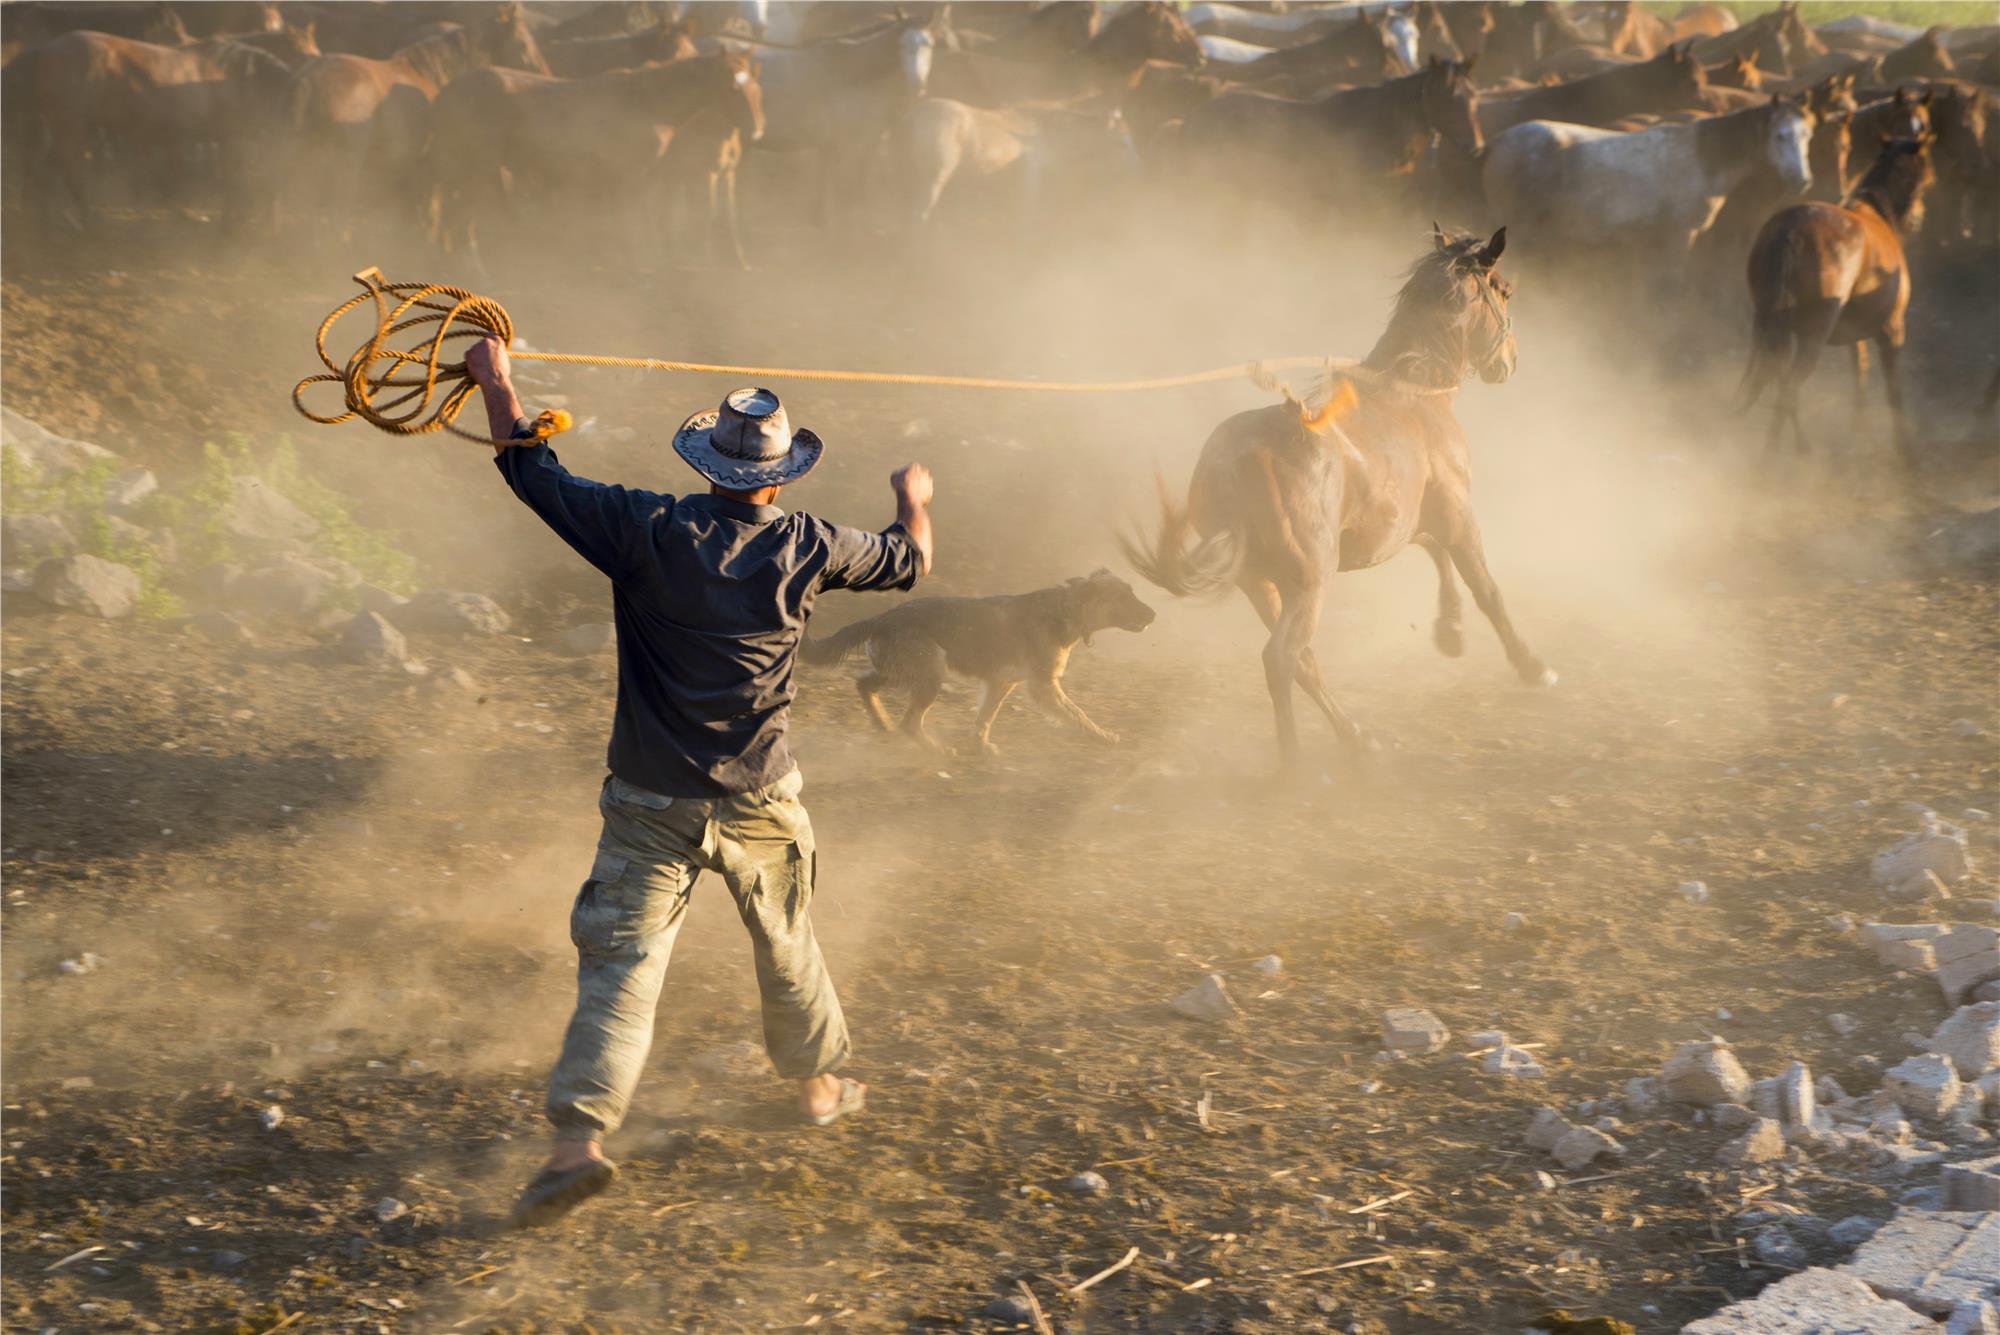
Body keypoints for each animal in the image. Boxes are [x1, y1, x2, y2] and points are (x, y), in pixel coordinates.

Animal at [800, 567, 1160, 755]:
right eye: (1122, 597)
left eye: (1131, 592)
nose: (1154, 614)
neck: (1065, 610)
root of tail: (881, 618)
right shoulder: (1044, 686)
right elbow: (1078, 714)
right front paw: (1103, 737)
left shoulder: (1001, 683)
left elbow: (985, 718)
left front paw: (982, 745)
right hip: (930, 675)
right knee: (910, 721)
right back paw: (936, 749)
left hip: (901, 671)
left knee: (863, 684)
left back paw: (883, 724)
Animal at [1128, 221, 1544, 759]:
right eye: (1504, 290)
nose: (1509, 363)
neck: (1412, 396)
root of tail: (1241, 461)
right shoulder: (1458, 514)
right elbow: (1486, 589)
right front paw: (1531, 665)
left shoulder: (1408, 521)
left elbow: (1436, 553)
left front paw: (1450, 632)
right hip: (1310, 581)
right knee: (1282, 659)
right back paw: (1295, 763)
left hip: (1260, 583)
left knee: (1303, 661)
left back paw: (1356, 738)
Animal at [1488, 93, 1816, 252]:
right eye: (1780, 136)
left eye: (1807, 135)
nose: (1802, 180)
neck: (1705, 159)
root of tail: (1497, 143)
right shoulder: (1680, 237)